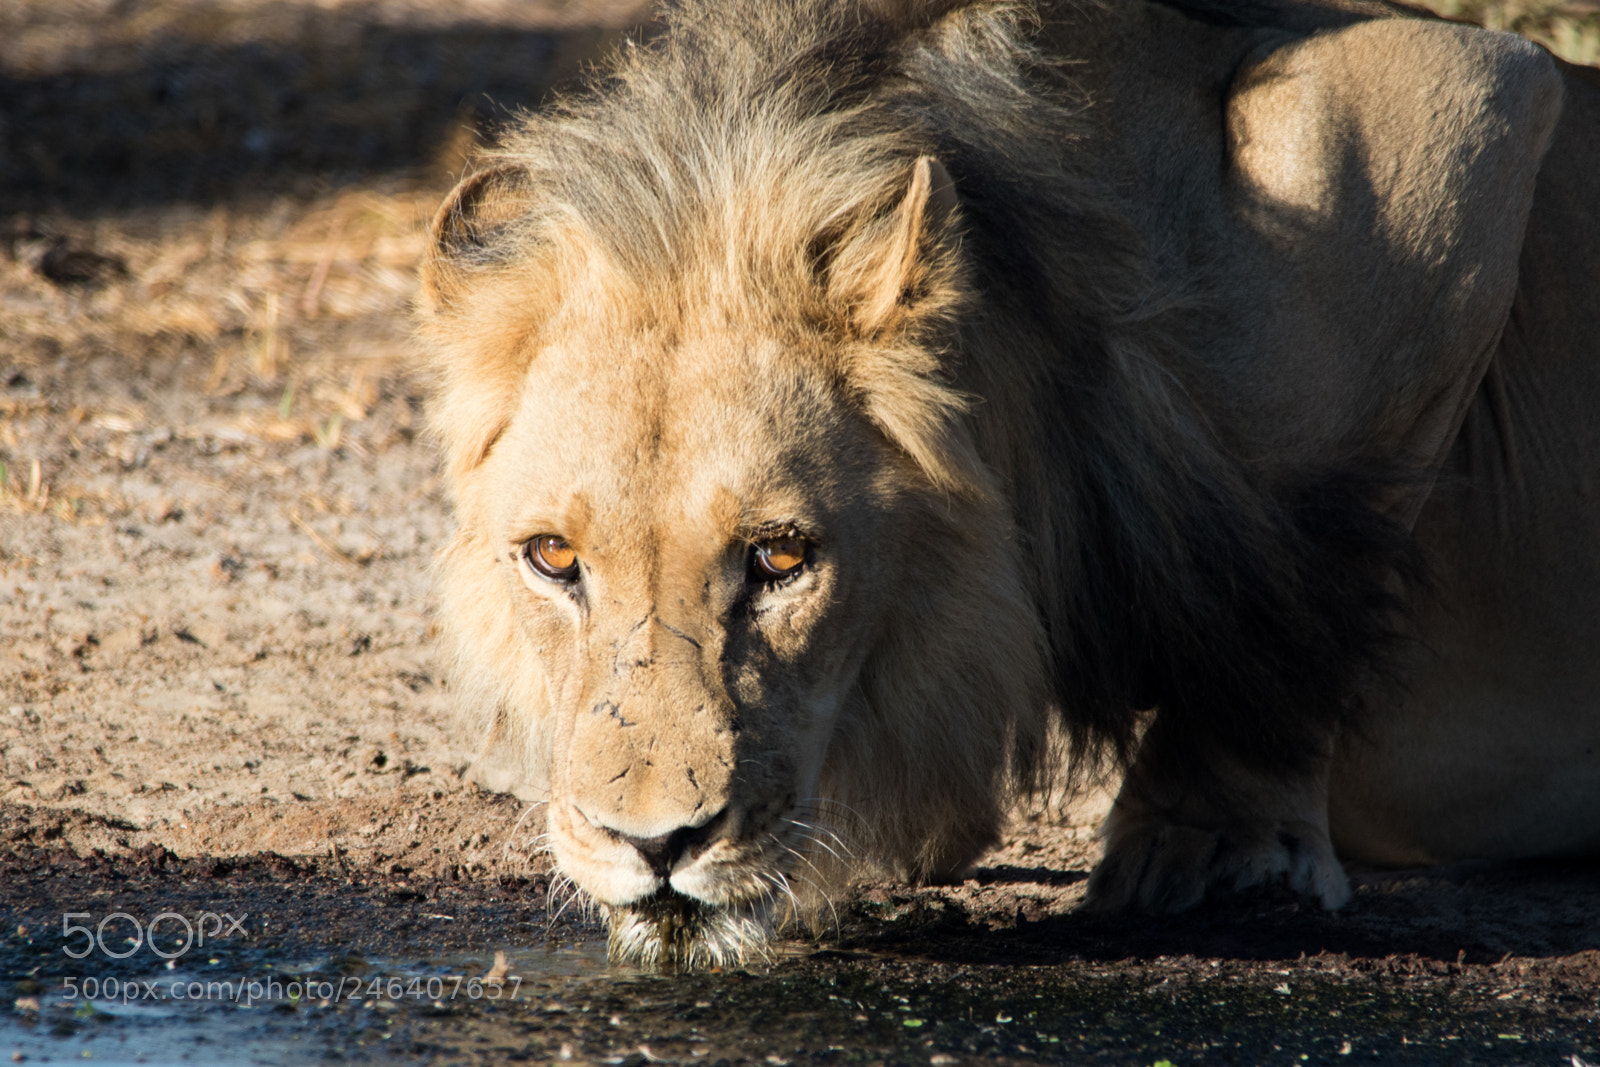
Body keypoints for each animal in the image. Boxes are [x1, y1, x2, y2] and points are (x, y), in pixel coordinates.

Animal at [416, 0, 1600, 967]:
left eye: (781, 556)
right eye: (553, 558)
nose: (654, 843)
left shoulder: (1459, 102)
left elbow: (1310, 579)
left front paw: (1212, 845)